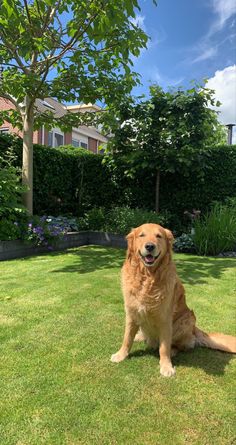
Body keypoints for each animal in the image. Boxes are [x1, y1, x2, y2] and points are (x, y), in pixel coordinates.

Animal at [110, 222, 236, 374]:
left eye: (158, 236)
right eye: (142, 235)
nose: (150, 246)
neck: (148, 277)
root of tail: (195, 329)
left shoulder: (165, 319)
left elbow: (164, 347)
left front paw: (166, 366)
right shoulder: (131, 313)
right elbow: (127, 338)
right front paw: (121, 355)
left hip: (186, 320)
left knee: (179, 345)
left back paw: (173, 351)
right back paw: (140, 336)